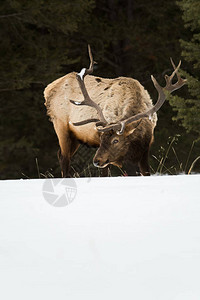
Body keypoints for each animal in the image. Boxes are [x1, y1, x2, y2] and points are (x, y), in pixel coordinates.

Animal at [43, 45, 186, 177]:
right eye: (101, 139)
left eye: (116, 140)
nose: (96, 161)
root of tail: (48, 89)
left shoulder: (145, 147)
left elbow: (145, 172)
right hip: (60, 125)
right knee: (64, 157)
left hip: (76, 137)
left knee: (61, 154)